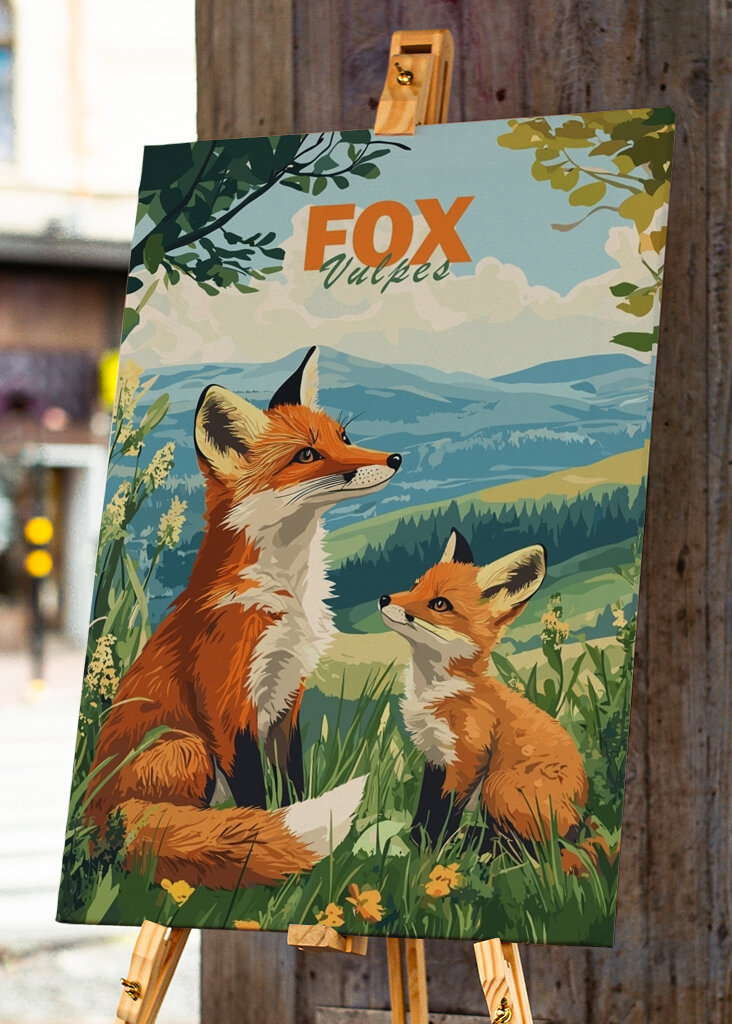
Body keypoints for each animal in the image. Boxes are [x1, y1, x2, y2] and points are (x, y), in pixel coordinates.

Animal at [84, 346, 402, 889]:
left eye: (344, 438)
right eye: (306, 455)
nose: (395, 458)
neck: (285, 594)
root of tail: (90, 819)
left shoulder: (287, 697)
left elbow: (292, 785)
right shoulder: (228, 705)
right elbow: (256, 801)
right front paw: (263, 855)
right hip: (187, 748)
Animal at [379, 529, 588, 850]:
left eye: (440, 604)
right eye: (415, 585)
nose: (383, 598)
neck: (437, 692)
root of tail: (582, 819)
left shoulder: (467, 758)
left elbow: (444, 813)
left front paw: (431, 851)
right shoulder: (435, 757)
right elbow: (426, 808)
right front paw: (415, 843)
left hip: (497, 786)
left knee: (532, 849)